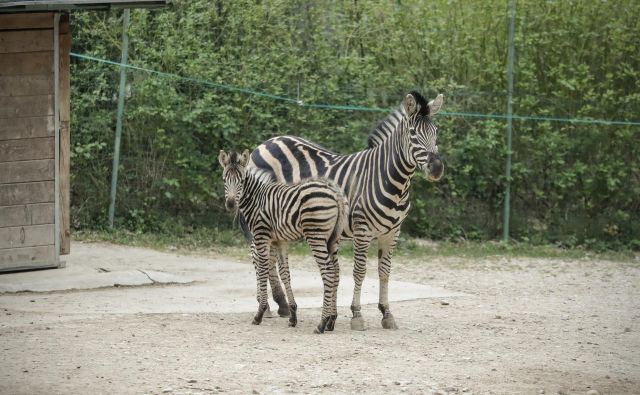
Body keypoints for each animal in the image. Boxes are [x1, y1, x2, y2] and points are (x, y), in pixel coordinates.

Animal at [220, 150, 350, 332]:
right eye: (225, 179)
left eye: (242, 180)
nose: (231, 204)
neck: (257, 199)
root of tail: (334, 192)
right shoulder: (279, 241)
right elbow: (285, 274)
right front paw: (293, 315)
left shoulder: (261, 236)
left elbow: (262, 270)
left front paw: (260, 313)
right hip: (333, 239)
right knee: (336, 272)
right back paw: (331, 320)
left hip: (315, 235)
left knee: (328, 272)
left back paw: (322, 323)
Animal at [248, 92, 442, 332]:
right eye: (413, 134)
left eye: (436, 132)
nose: (437, 169)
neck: (390, 179)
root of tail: (267, 142)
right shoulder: (362, 229)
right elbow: (359, 271)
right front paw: (357, 315)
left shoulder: (392, 232)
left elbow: (385, 271)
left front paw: (386, 313)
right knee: (257, 256)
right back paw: (264, 306)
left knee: (270, 256)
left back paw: (282, 305)